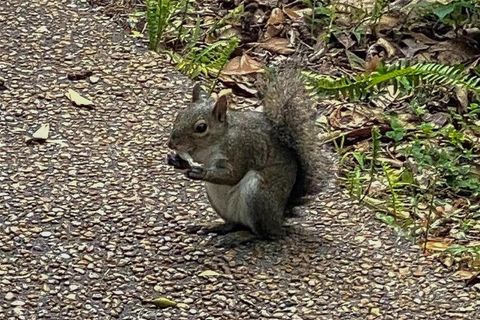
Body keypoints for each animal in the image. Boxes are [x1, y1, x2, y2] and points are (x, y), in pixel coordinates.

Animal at [167, 65, 332, 240]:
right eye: (179, 115)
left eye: (201, 127)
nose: (171, 143)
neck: (212, 144)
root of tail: (279, 219)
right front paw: (177, 161)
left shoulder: (242, 149)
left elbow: (233, 175)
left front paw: (201, 172)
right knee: (235, 223)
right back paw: (215, 226)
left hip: (257, 197)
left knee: (262, 234)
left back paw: (239, 237)